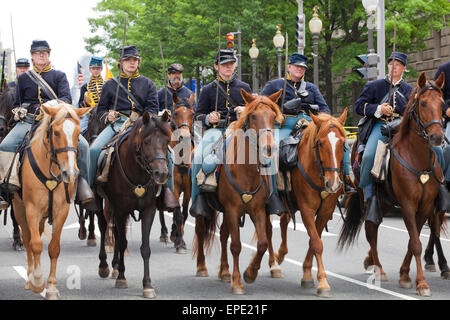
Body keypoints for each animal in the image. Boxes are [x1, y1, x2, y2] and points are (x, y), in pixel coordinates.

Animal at [11, 101, 90, 298]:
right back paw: (30, 277)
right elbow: (36, 244)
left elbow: (54, 248)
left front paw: (52, 287)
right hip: (19, 208)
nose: (70, 173)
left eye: (78, 133)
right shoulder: (31, 209)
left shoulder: (61, 210)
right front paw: (38, 281)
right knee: (27, 238)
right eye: (56, 132)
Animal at [96, 110, 175, 298]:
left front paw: (147, 285)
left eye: (167, 141)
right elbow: (122, 241)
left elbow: (145, 248)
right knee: (103, 227)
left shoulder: (149, 210)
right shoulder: (121, 209)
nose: (161, 173)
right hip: (100, 200)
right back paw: (105, 266)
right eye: (146, 141)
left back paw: (115, 266)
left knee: (115, 232)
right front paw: (121, 278)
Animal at [192, 89, 284, 294]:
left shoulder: (257, 210)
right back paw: (202, 267)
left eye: (273, 116)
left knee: (223, 234)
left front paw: (250, 273)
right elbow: (235, 245)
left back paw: (225, 271)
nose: (269, 148)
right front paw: (237, 283)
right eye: (253, 116)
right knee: (201, 231)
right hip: (207, 209)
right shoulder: (233, 209)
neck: (246, 170)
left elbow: (262, 243)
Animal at [340, 72, 444, 298]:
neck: (418, 159)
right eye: (423, 103)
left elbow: (413, 241)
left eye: (442, 103)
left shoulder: (424, 207)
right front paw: (421, 283)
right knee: (371, 230)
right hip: (368, 198)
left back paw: (370, 260)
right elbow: (416, 243)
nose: (437, 137)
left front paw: (405, 275)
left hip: (386, 201)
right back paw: (377, 268)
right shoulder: (407, 205)